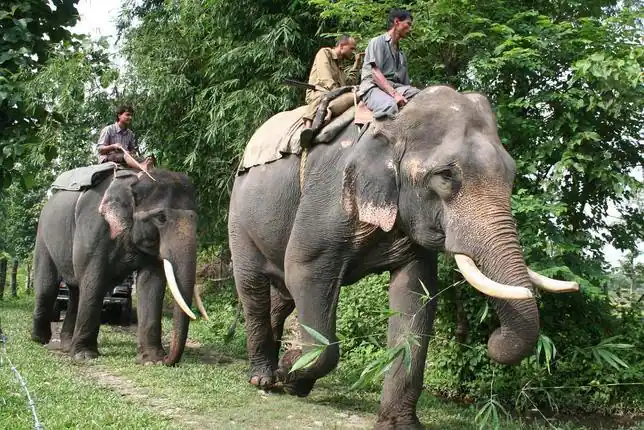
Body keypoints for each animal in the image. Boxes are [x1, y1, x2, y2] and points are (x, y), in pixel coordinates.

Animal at [31, 168, 208, 366]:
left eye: (195, 219)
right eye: (161, 218)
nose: (167, 360)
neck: (134, 180)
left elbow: (151, 283)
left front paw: (151, 360)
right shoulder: (94, 228)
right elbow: (94, 281)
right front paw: (85, 356)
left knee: (75, 290)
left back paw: (67, 345)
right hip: (43, 236)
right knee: (48, 286)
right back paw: (40, 339)